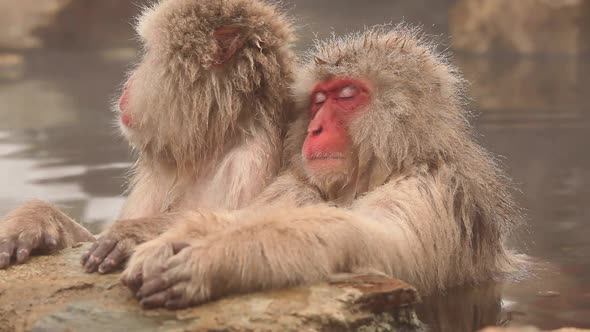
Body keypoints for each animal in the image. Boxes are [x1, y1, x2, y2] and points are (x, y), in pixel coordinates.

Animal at [0, 0, 296, 272]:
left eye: (151, 54)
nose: (128, 83)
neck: (216, 142)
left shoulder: (250, 163)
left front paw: (135, 232)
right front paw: (36, 219)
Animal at [119, 25, 524, 308]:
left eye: (346, 95)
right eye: (317, 101)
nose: (314, 129)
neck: (386, 169)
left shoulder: (429, 190)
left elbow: (380, 244)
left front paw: (218, 255)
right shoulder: (299, 185)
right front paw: (172, 235)